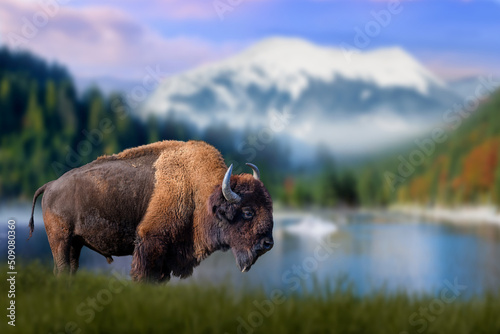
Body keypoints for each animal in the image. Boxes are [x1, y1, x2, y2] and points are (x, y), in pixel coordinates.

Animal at [28, 140, 274, 282]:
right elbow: (144, 276)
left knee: (70, 269)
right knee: (62, 268)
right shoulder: (150, 243)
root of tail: (50, 185)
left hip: (75, 243)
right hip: (60, 239)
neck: (196, 190)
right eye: (248, 212)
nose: (267, 244)